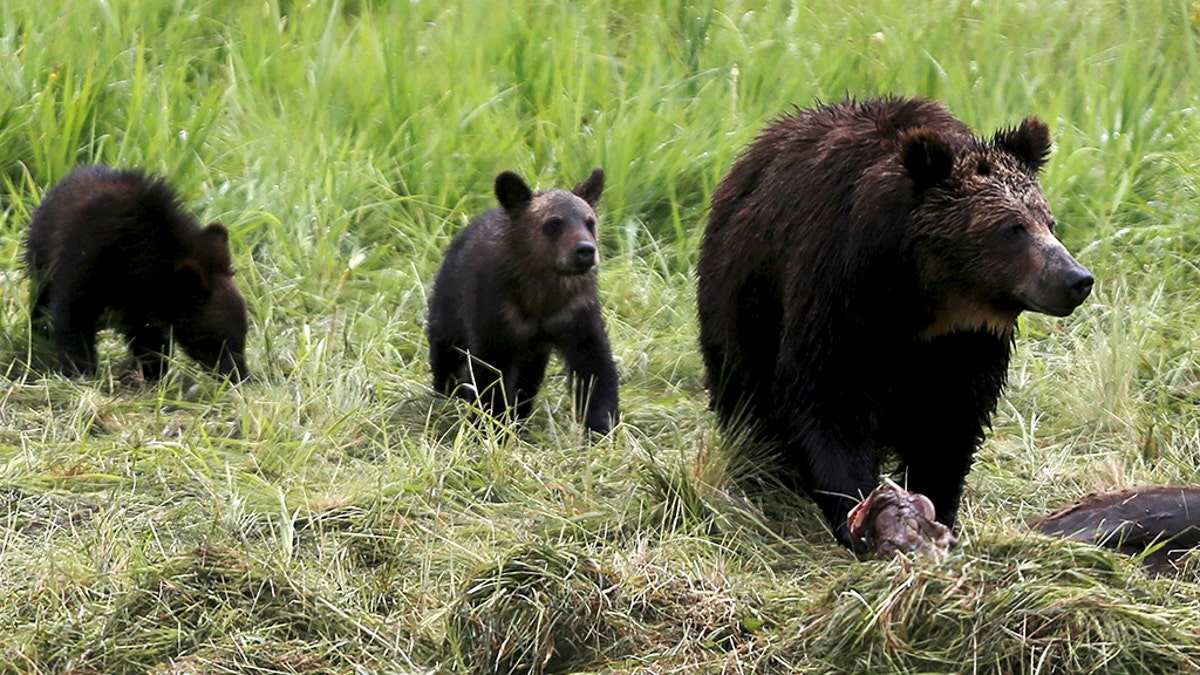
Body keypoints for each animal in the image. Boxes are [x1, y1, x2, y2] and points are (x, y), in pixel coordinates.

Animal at [25, 164, 248, 379]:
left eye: (244, 335)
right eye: (215, 342)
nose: (240, 377)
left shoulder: (142, 299)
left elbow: (149, 335)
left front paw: (151, 372)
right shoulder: (85, 262)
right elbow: (73, 315)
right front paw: (80, 370)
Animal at [424, 166, 619, 429]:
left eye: (590, 222)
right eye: (553, 222)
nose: (586, 250)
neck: (541, 296)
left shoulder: (575, 314)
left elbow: (595, 366)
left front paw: (602, 425)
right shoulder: (494, 314)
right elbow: (491, 372)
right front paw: (490, 422)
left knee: (529, 376)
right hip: (449, 303)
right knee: (445, 350)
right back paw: (447, 393)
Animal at [696, 96, 1099, 547]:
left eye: (1049, 222)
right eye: (1011, 228)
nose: (1076, 279)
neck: (921, 299)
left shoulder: (966, 343)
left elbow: (948, 423)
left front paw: (934, 506)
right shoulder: (837, 296)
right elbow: (827, 402)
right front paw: (858, 512)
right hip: (740, 304)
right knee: (744, 399)